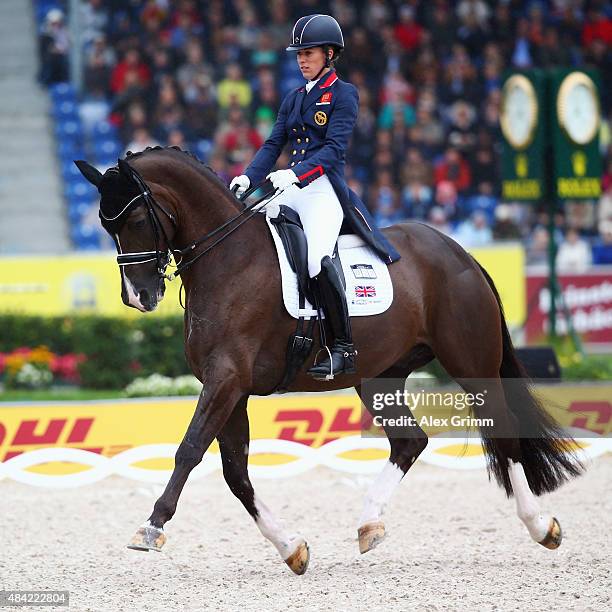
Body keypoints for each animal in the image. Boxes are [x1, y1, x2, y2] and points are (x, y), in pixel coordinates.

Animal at [74, 147, 580, 572]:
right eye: (106, 224)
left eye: (138, 217)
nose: (138, 297)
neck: (229, 259)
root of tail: (459, 253)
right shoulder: (230, 387)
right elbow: (236, 473)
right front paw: (291, 548)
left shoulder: (226, 379)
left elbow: (190, 449)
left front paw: (151, 526)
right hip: (377, 377)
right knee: (409, 441)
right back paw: (370, 525)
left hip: (472, 366)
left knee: (503, 433)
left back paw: (541, 526)